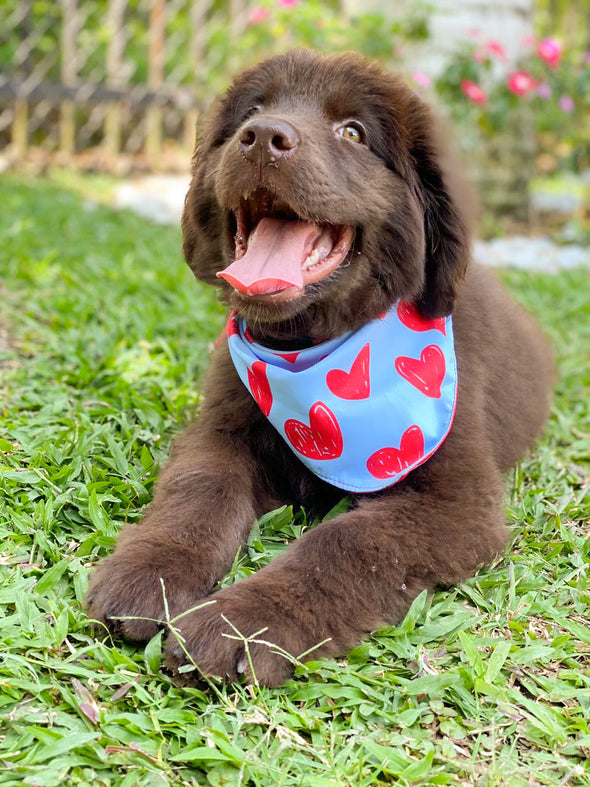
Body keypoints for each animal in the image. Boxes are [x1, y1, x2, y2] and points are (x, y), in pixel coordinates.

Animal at [86, 52, 556, 688]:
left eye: (352, 133)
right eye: (254, 110)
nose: (262, 137)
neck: (314, 348)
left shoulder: (456, 504)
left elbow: (347, 545)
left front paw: (241, 624)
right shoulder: (221, 430)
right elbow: (200, 490)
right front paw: (151, 571)